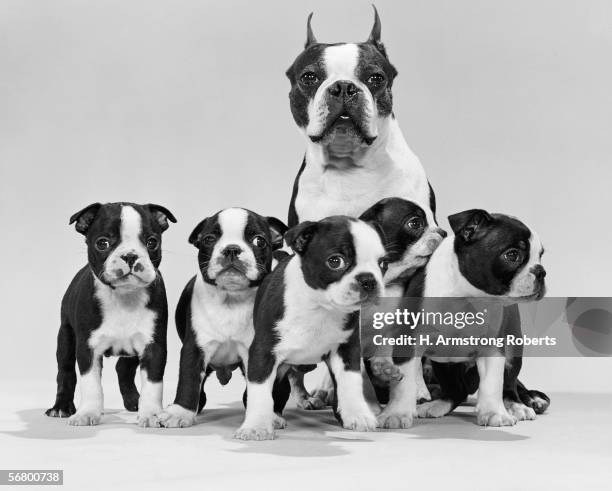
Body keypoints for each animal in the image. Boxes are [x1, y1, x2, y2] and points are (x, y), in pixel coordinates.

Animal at [44, 203, 175, 426]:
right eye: (102, 243)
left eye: (152, 242)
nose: (130, 256)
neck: (123, 297)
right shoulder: (88, 348)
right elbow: (91, 384)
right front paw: (88, 413)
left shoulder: (153, 346)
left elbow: (153, 384)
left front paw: (150, 413)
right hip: (66, 337)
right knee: (65, 371)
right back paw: (61, 407)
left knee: (123, 369)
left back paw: (134, 401)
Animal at [160, 209, 290, 428]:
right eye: (209, 239)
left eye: (259, 241)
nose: (231, 249)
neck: (231, 299)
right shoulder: (195, 348)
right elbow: (188, 380)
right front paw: (180, 412)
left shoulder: (258, 352)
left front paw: (265, 417)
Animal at [234, 217, 388, 440]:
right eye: (335, 261)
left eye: (383, 264)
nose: (368, 280)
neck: (319, 307)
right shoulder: (263, 352)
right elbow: (260, 391)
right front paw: (256, 426)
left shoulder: (347, 349)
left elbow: (350, 383)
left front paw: (357, 415)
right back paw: (273, 418)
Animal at [380, 209, 548, 428]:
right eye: (512, 255)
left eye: (540, 256)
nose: (541, 271)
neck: (466, 297)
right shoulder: (410, 341)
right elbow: (405, 382)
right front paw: (397, 414)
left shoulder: (492, 347)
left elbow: (493, 383)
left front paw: (494, 413)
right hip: (445, 361)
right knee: (456, 390)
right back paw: (436, 405)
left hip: (512, 348)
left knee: (508, 384)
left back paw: (516, 405)